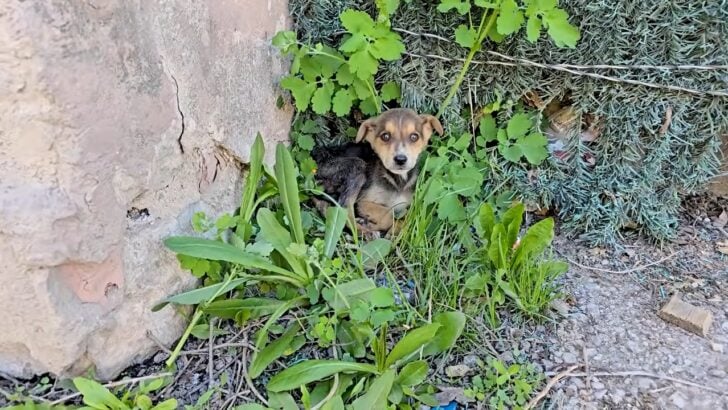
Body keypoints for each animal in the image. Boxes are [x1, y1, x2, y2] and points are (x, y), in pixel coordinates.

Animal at [312, 108, 444, 237]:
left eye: (414, 137)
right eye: (385, 136)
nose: (400, 159)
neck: (396, 180)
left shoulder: (408, 207)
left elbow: (405, 223)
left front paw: (393, 229)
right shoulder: (363, 202)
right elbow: (389, 213)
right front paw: (376, 226)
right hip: (354, 166)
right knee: (345, 213)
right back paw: (365, 231)